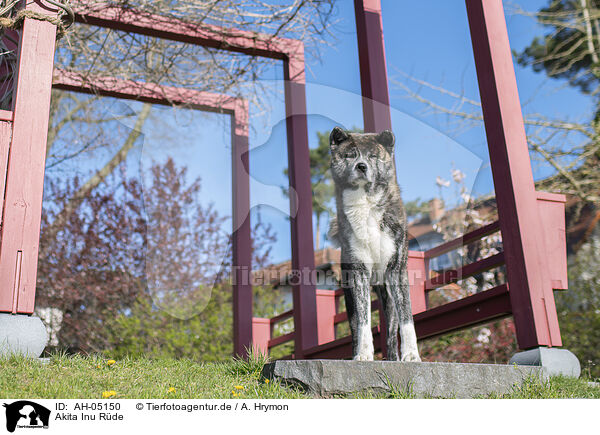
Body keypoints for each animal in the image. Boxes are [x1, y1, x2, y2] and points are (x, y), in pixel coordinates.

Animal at [326, 127, 420, 362]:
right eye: (350, 155)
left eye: (373, 156)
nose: (361, 166)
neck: (366, 205)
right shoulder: (358, 274)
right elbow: (363, 322)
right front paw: (363, 355)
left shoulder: (397, 271)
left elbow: (407, 318)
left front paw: (412, 355)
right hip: (350, 295)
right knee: (355, 327)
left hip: (387, 296)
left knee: (391, 331)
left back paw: (394, 358)